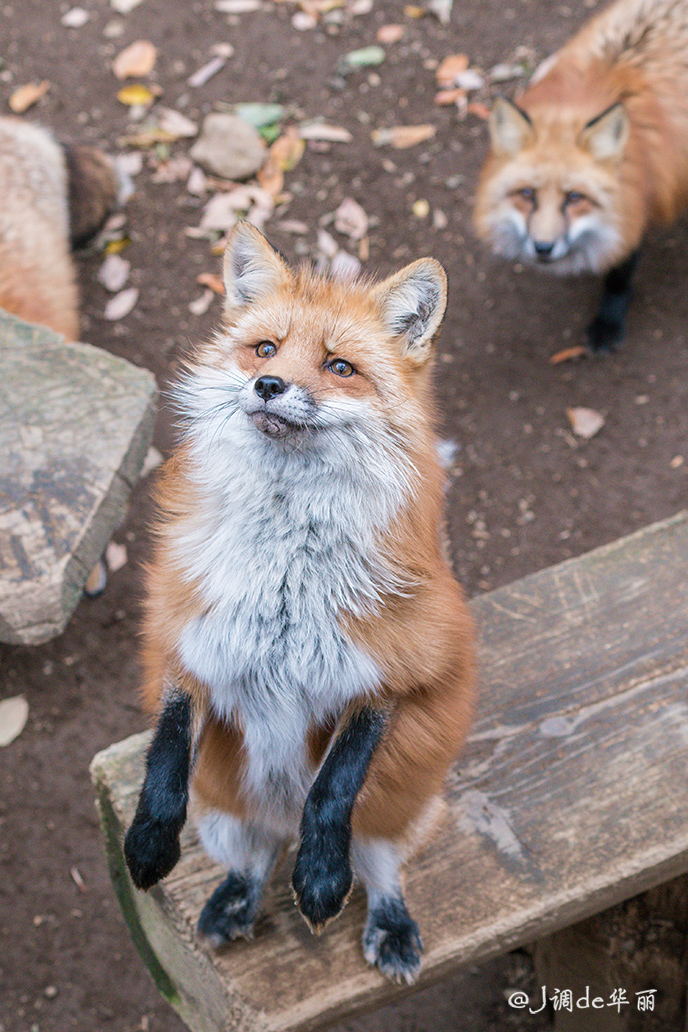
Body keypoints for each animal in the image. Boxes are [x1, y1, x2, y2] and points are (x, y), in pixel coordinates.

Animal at [123, 219, 476, 982]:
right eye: (265, 348)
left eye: (339, 367)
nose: (269, 383)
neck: (285, 580)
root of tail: (273, 823)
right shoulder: (188, 641)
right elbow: (163, 763)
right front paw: (147, 847)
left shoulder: (394, 673)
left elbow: (331, 791)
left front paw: (318, 880)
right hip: (224, 815)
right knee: (253, 860)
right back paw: (236, 897)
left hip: (393, 810)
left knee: (375, 865)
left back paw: (384, 918)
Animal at [474, 0, 688, 352]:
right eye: (527, 194)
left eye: (575, 197)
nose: (543, 248)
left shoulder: (634, 209)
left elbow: (619, 274)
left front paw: (608, 324)